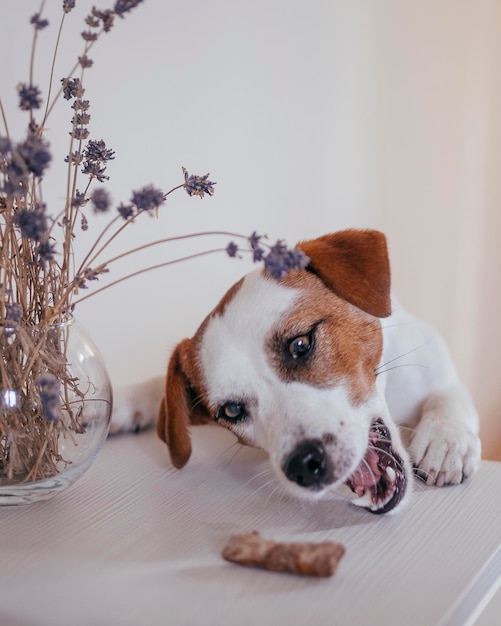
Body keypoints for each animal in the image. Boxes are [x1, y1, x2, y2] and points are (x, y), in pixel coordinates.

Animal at [110, 229, 480, 512]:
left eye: (300, 344)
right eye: (231, 410)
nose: (305, 465)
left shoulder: (436, 365)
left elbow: (448, 394)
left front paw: (446, 438)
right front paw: (124, 402)